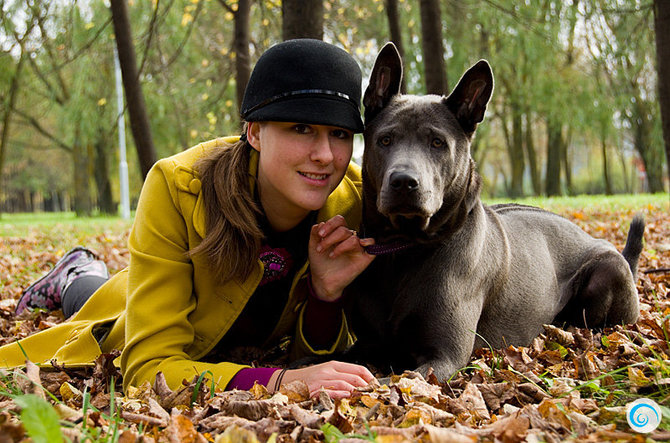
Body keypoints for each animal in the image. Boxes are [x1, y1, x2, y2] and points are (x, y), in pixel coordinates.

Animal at [346, 43, 644, 382]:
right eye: (385, 139)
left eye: (437, 143)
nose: (404, 182)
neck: (404, 250)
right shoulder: (367, 342)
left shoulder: (443, 357)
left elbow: (382, 383)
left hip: (609, 270)